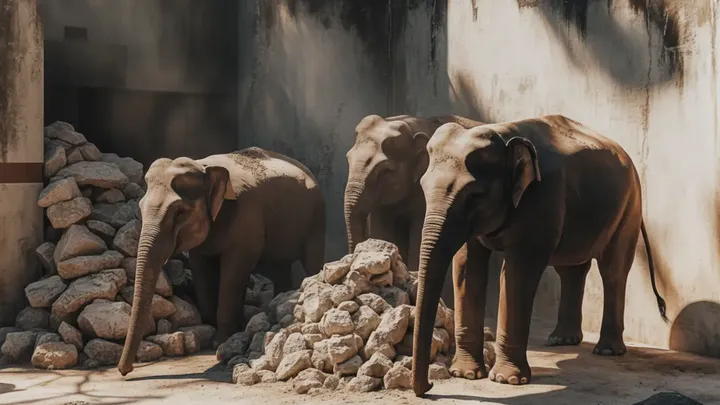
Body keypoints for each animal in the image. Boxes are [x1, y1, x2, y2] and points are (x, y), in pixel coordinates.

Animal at [117, 147, 325, 376]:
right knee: (279, 267)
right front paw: (213, 330)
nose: (125, 371)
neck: (203, 166)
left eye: (180, 213)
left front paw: (220, 342)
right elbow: (200, 267)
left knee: (311, 259)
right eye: (140, 207)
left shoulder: (246, 219)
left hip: (316, 218)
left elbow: (233, 271)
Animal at [410, 114, 667, 396]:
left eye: (474, 195)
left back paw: (607, 351)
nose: (429, 386)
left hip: (629, 206)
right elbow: (467, 266)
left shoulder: (542, 198)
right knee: (572, 269)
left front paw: (507, 380)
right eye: (422, 187)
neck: (503, 135)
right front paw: (466, 374)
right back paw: (561, 339)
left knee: (613, 270)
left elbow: (517, 272)